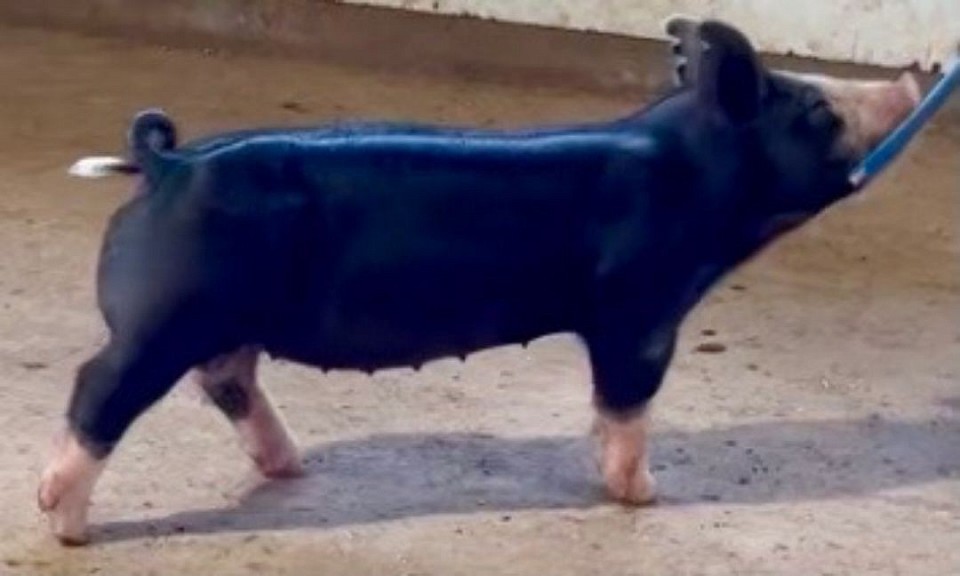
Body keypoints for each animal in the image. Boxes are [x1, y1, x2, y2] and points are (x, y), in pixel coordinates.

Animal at [40, 16, 920, 545]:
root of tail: (166, 164)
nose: (913, 76)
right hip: (163, 315)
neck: (685, 169)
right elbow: (627, 400)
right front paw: (645, 493)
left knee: (226, 378)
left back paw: (292, 468)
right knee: (101, 389)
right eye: (814, 111)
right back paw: (66, 526)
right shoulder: (639, 305)